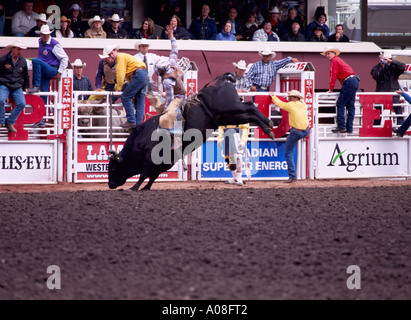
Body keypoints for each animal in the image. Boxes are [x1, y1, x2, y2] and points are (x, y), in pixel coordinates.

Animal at [108, 73, 276, 190]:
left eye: (113, 167)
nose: (110, 184)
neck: (141, 140)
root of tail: (220, 83)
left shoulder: (153, 156)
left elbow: (144, 173)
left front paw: (134, 187)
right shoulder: (167, 161)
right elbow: (153, 176)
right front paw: (145, 188)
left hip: (231, 107)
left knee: (250, 106)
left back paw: (269, 124)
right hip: (229, 116)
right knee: (250, 114)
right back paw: (269, 129)